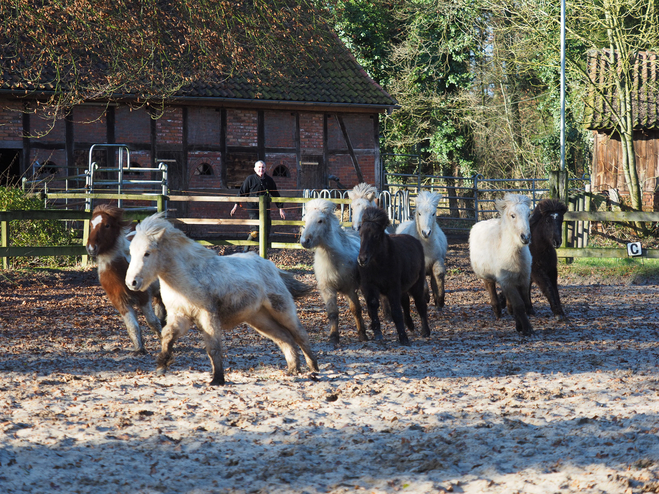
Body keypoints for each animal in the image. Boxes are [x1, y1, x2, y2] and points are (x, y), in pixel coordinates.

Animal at [85, 205, 166, 356]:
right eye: (91, 224)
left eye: (107, 225)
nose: (91, 248)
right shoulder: (120, 303)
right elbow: (132, 326)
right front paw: (139, 349)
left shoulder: (143, 297)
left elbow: (152, 321)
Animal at [126, 212, 320, 386]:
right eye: (131, 252)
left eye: (147, 253)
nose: (131, 282)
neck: (187, 276)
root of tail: (271, 266)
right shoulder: (180, 316)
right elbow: (167, 336)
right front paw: (161, 365)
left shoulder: (207, 315)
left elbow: (213, 347)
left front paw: (218, 379)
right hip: (259, 318)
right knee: (284, 338)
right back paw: (293, 369)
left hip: (281, 310)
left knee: (300, 334)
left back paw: (314, 368)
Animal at [300, 199, 366, 346]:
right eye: (305, 220)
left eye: (320, 221)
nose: (304, 241)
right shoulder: (327, 289)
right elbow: (332, 313)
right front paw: (334, 337)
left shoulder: (350, 289)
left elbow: (356, 310)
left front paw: (362, 334)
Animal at [358, 206, 430, 346]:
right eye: (360, 234)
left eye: (375, 235)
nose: (362, 259)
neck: (379, 264)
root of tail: (415, 241)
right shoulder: (370, 286)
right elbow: (373, 305)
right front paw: (377, 332)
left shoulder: (393, 288)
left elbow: (396, 312)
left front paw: (403, 338)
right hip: (403, 288)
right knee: (405, 302)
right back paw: (410, 325)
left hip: (417, 284)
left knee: (420, 304)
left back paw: (425, 331)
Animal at [470, 193, 536, 336]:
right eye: (512, 215)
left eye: (528, 214)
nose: (525, 237)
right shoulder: (507, 281)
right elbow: (519, 305)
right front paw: (527, 329)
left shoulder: (523, 279)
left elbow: (524, 302)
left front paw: (520, 326)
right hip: (487, 276)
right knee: (491, 289)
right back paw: (497, 311)